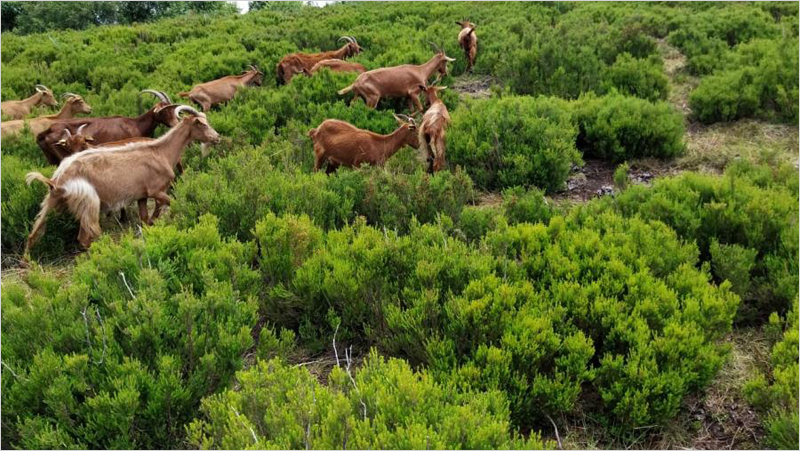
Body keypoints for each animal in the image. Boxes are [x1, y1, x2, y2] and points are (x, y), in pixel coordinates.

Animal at [25, 107, 219, 254]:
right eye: (200, 123)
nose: (217, 137)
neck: (161, 151)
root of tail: (57, 180)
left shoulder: (141, 196)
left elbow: (145, 217)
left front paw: (149, 227)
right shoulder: (156, 191)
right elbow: (172, 203)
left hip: (51, 202)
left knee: (34, 233)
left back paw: (28, 261)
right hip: (88, 202)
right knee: (85, 237)